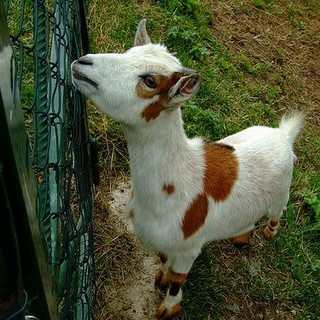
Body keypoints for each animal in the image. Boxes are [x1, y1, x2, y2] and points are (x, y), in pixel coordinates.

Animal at [71, 20, 304, 320]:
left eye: (150, 81)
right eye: (129, 52)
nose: (82, 63)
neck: (178, 179)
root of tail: (283, 135)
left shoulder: (189, 248)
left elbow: (178, 278)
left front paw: (168, 307)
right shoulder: (165, 242)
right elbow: (164, 262)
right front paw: (159, 280)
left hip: (281, 195)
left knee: (277, 214)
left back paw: (268, 234)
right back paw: (241, 236)